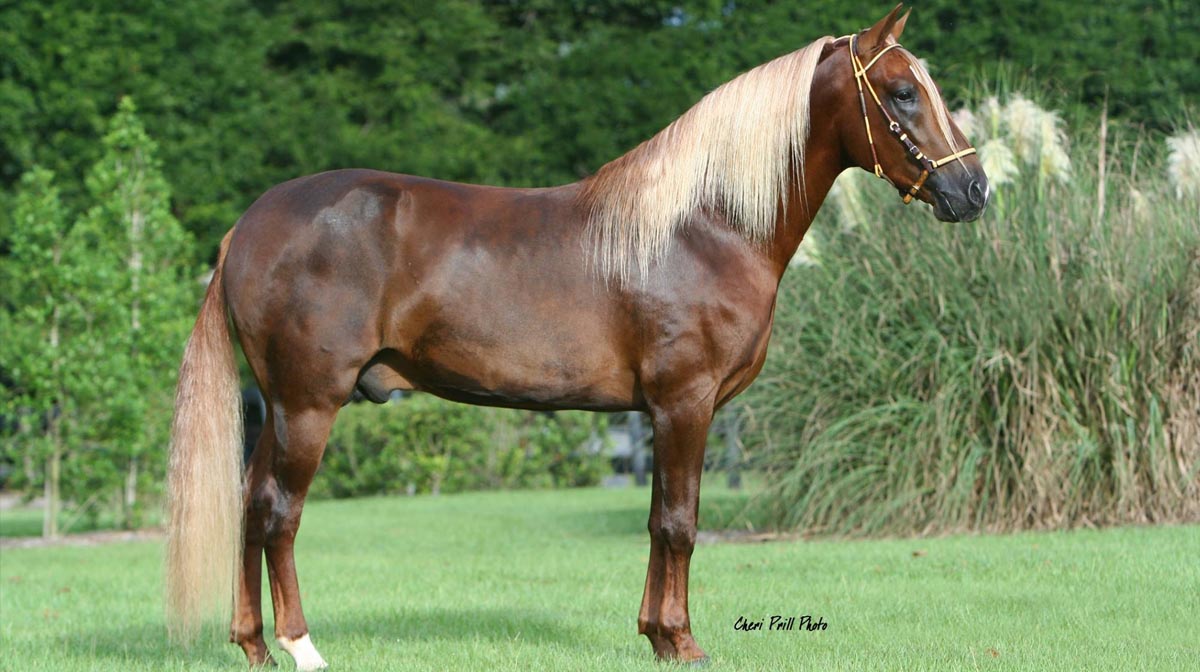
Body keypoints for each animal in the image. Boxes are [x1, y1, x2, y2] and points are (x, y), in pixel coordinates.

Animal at [166, 7, 984, 667]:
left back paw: (253, 647)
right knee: (280, 515)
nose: (972, 189)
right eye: (902, 92)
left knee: (250, 507)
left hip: (275, 408)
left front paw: (655, 635)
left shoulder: (660, 413)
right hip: (307, 404)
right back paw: (302, 647)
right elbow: (682, 522)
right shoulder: (685, 404)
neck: (705, 226)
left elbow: (657, 520)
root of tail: (250, 224)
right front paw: (684, 642)